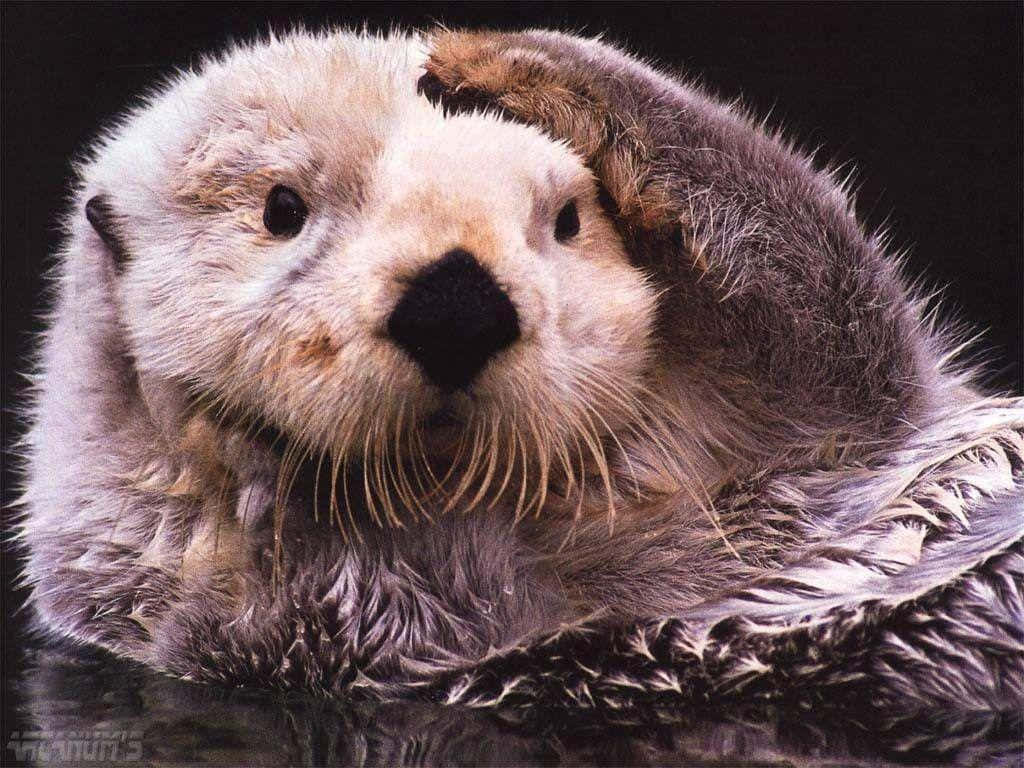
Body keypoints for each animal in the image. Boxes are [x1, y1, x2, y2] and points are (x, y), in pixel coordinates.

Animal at [16, 28, 991, 695]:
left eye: (568, 218)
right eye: (282, 208)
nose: (457, 305)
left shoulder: (841, 441)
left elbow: (830, 308)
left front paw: (510, 60)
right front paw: (256, 462)